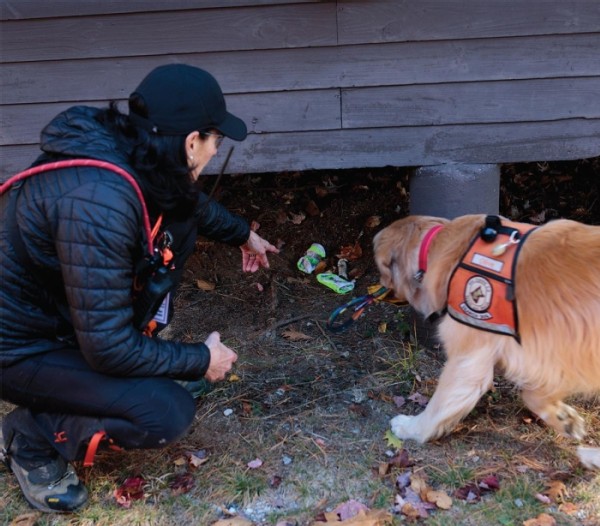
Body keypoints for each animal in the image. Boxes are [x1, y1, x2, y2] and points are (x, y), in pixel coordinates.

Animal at [376, 214, 600, 470]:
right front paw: (564, 418)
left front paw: (412, 428)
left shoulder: (468, 357)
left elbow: (439, 404)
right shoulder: (556, 357)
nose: (380, 285)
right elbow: (532, 396)